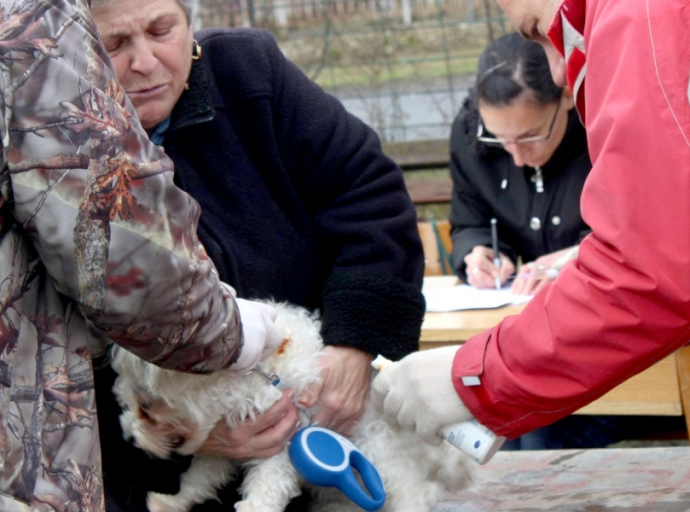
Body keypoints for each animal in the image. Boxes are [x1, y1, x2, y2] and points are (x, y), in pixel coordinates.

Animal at [110, 302, 470, 512]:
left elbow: (267, 489)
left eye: (146, 407)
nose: (129, 437)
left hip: (387, 464)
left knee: (417, 495)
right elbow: (199, 478)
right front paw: (171, 502)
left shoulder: (282, 443)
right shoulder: (223, 446)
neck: (261, 376)